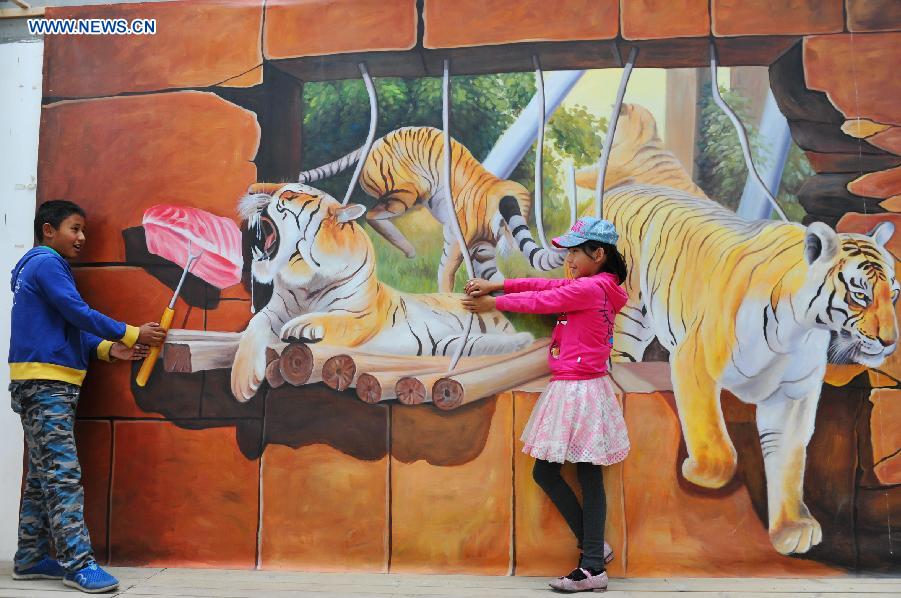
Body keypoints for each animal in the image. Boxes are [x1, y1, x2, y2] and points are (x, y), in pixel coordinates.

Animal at [229, 183, 536, 404]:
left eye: (289, 193)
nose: (252, 191)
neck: (305, 279)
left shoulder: (359, 317)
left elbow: (332, 319)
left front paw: (301, 326)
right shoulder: (273, 310)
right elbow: (253, 327)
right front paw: (242, 384)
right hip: (446, 342)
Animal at [296, 128, 564, 292]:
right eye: (510, 222)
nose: (509, 243)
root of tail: (378, 139)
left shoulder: (483, 251)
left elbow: (493, 277)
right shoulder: (457, 240)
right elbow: (447, 271)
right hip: (408, 191)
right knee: (372, 215)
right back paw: (408, 248)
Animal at [572, 109, 896, 556]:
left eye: (894, 293)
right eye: (861, 295)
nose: (889, 341)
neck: (799, 329)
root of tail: (628, 188)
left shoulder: (792, 396)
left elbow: (788, 462)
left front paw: (791, 527)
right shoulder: (694, 359)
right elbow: (716, 442)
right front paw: (699, 471)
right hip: (628, 314)